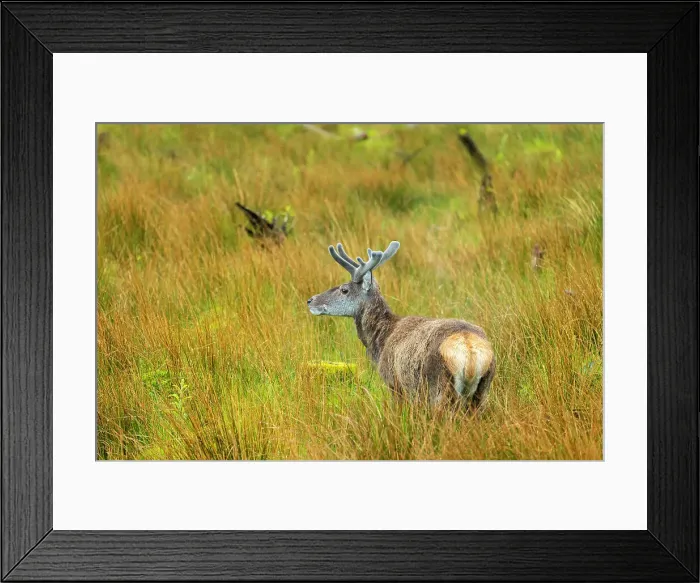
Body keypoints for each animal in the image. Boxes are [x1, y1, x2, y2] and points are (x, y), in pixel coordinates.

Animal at [307, 241, 496, 409]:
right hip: (482, 391)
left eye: (344, 290)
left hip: (439, 389)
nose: (310, 300)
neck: (381, 340)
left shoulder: (394, 383)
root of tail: (469, 350)